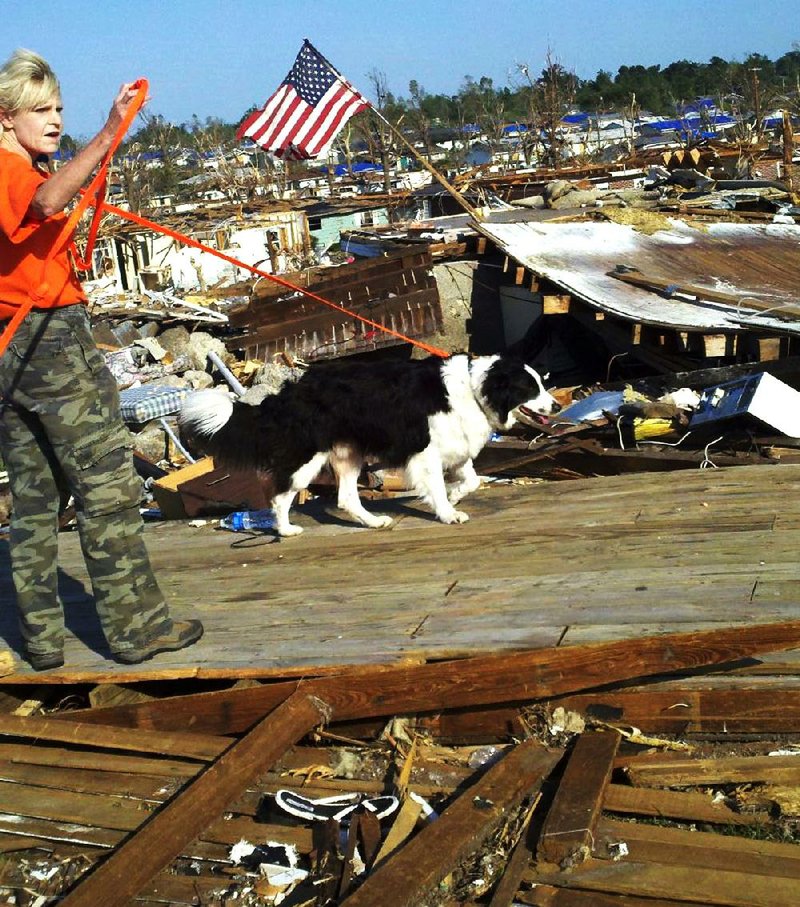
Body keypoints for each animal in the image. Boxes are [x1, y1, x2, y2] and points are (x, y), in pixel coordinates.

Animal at [180, 352, 556, 540]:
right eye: (530, 388)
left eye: (541, 383)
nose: (554, 406)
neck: (476, 388)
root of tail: (289, 393)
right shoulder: (426, 451)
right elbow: (438, 485)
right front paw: (447, 512)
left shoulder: (455, 445)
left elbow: (473, 480)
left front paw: (454, 497)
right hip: (308, 458)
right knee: (280, 495)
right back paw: (285, 530)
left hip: (349, 454)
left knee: (346, 497)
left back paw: (373, 522)